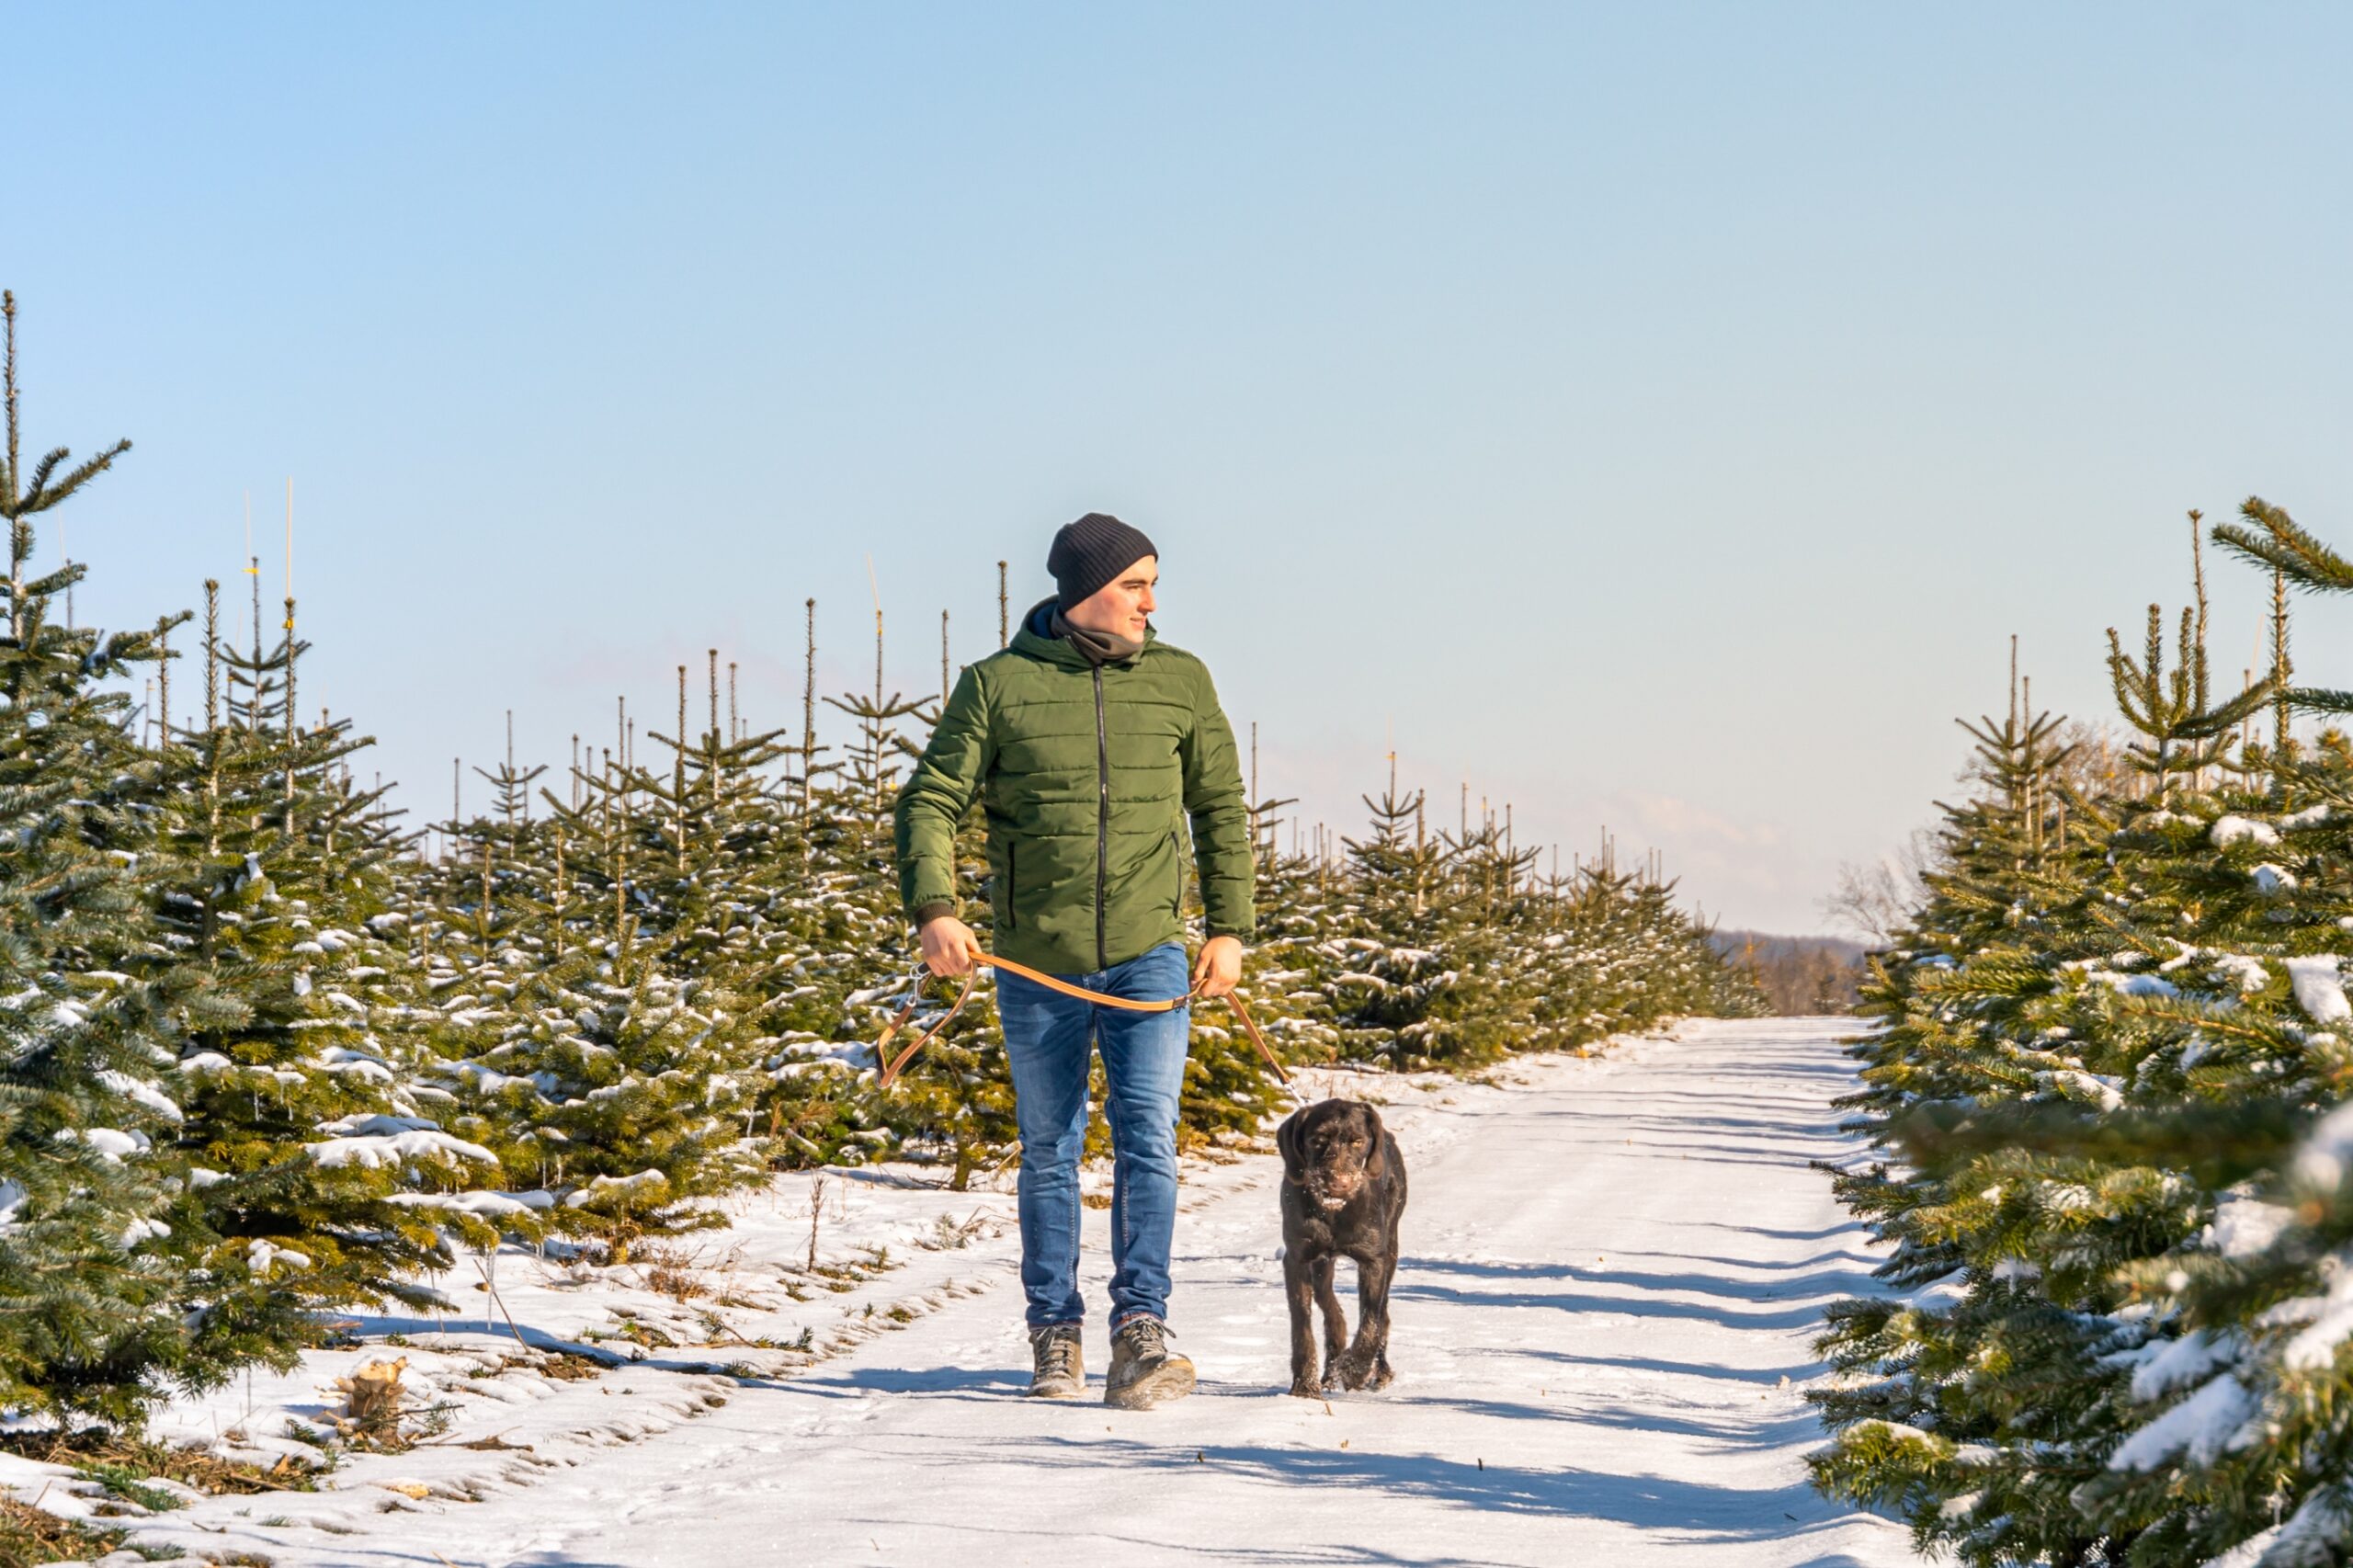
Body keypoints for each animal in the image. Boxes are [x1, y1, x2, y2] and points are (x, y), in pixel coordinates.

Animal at [1279, 1096, 1402, 1393]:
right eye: (1317, 1140)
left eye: (1358, 1141)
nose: (1338, 1182)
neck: (1334, 1210)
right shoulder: (1297, 1260)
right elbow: (1301, 1325)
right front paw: (1304, 1385)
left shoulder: (1374, 1261)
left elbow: (1371, 1322)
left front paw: (1354, 1370)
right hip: (1322, 1264)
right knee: (1331, 1307)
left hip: (1391, 1250)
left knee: (1382, 1314)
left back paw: (1378, 1370)